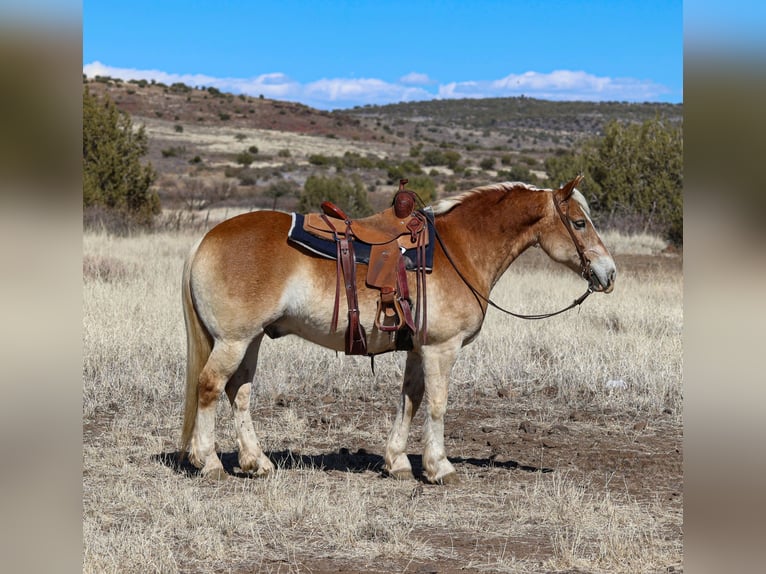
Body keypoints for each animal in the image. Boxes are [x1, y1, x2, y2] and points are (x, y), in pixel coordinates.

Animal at [180, 176, 616, 486]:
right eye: (579, 223)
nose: (608, 273)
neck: (459, 249)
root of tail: (205, 239)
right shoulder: (442, 348)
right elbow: (437, 404)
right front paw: (440, 467)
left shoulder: (418, 349)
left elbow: (410, 399)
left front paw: (398, 462)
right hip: (234, 341)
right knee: (210, 387)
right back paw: (210, 462)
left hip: (250, 340)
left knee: (238, 393)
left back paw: (256, 462)